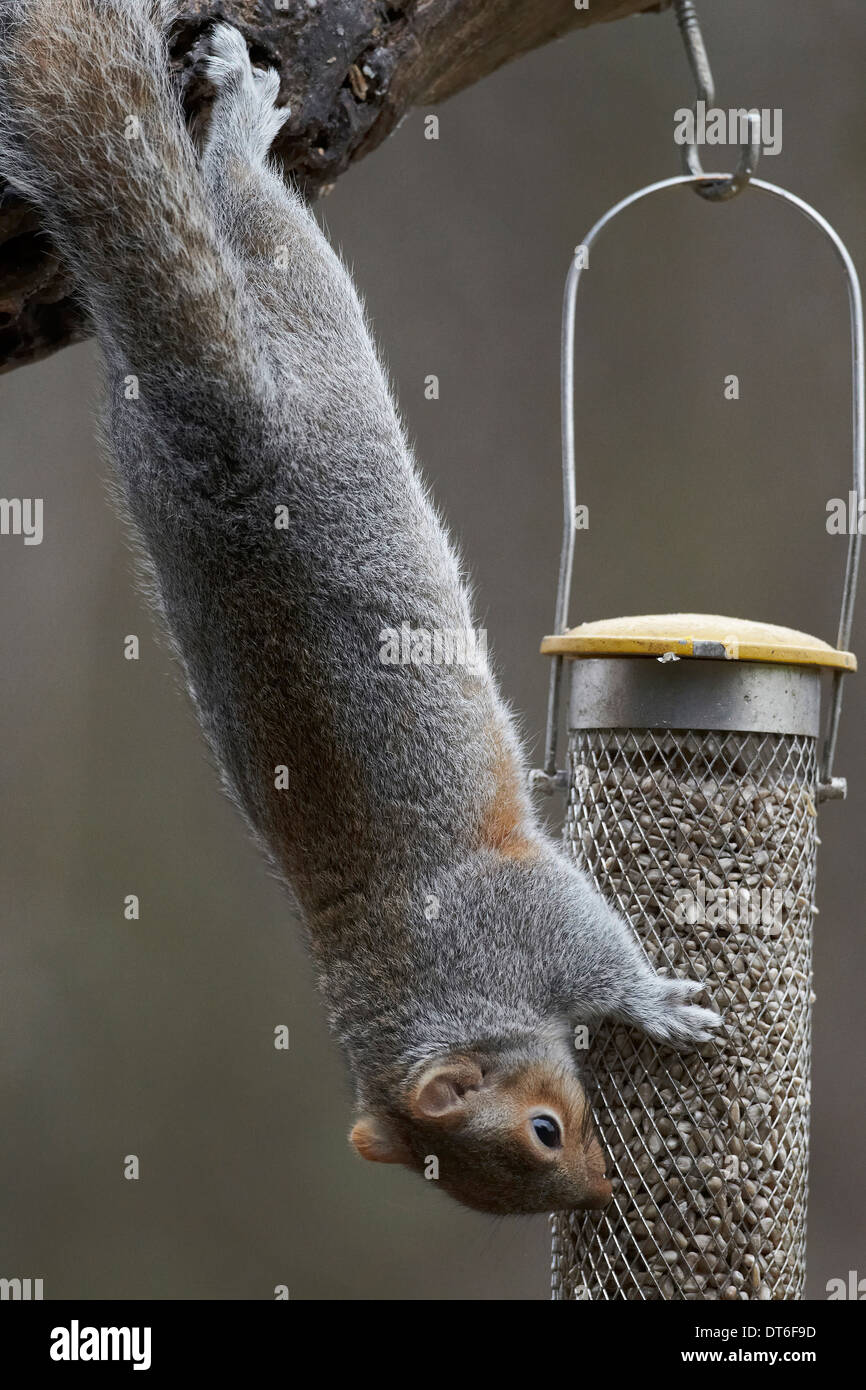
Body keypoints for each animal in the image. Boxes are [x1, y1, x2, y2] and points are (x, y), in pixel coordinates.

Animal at [0, 0, 722, 1212]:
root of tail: (200, 405)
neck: (432, 988)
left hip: (305, 308)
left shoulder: (520, 916)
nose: (596, 1190)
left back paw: (242, 125)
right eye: (524, 1153)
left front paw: (651, 1001)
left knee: (250, 207)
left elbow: (598, 953)